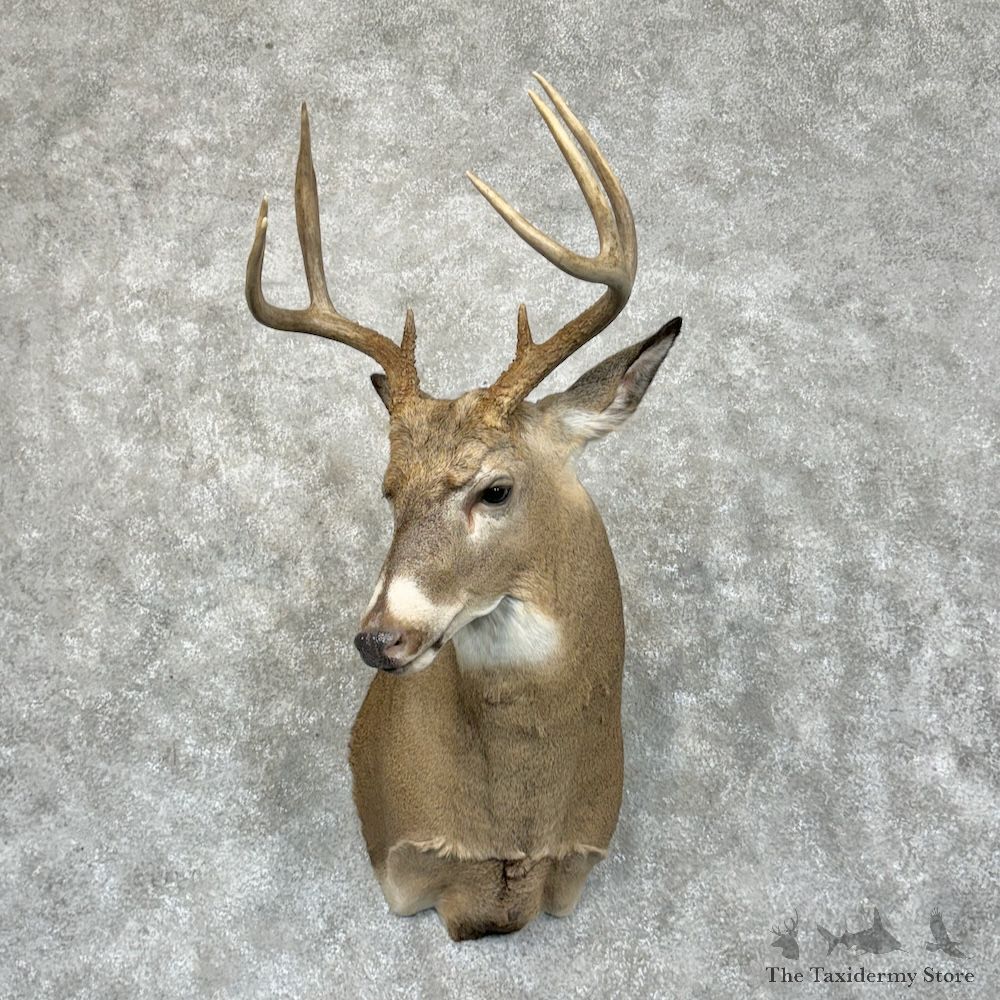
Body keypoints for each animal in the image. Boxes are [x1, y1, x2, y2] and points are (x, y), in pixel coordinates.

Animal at [245, 73, 682, 941]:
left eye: (496, 488)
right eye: (387, 488)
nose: (380, 638)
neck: (513, 830)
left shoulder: (580, 862)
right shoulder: (402, 859)